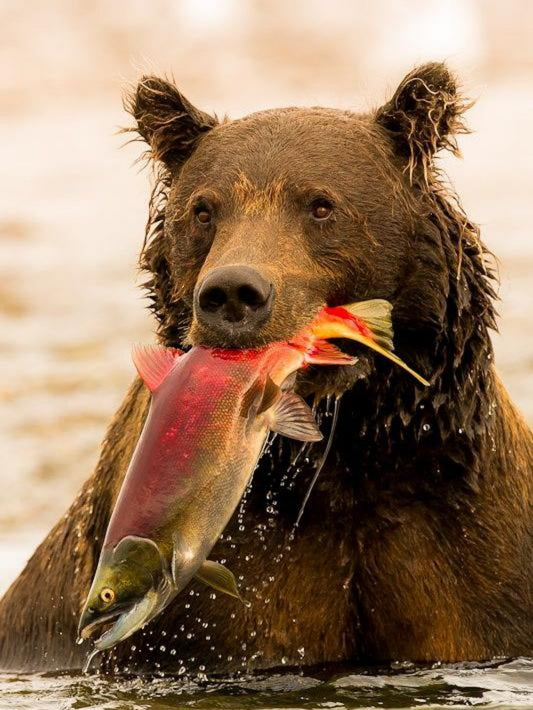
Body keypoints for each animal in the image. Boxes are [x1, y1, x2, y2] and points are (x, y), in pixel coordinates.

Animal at [0, 62, 531, 674]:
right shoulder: (231, 583)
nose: (233, 292)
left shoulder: (464, 544)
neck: (348, 453)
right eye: (203, 209)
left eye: (321, 204)